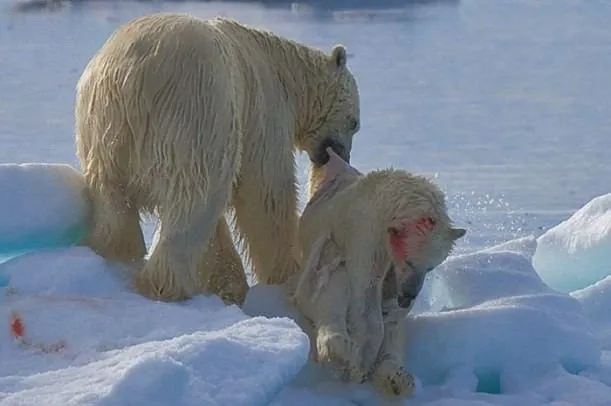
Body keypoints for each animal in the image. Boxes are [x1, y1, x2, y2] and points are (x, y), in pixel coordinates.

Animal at [76, 11, 364, 304]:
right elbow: (266, 192)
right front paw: (285, 273)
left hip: (102, 128)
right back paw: (166, 284)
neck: (283, 68)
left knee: (112, 200)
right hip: (193, 111)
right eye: (354, 123)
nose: (341, 156)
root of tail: (132, 76)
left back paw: (115, 255)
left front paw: (228, 284)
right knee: (192, 201)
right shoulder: (263, 109)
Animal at [286, 148, 464, 396]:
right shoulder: (365, 232)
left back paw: (396, 377)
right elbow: (365, 292)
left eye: (430, 267)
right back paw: (341, 350)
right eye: (409, 262)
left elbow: (391, 314)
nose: (408, 296)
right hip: (319, 257)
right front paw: (359, 367)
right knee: (330, 287)